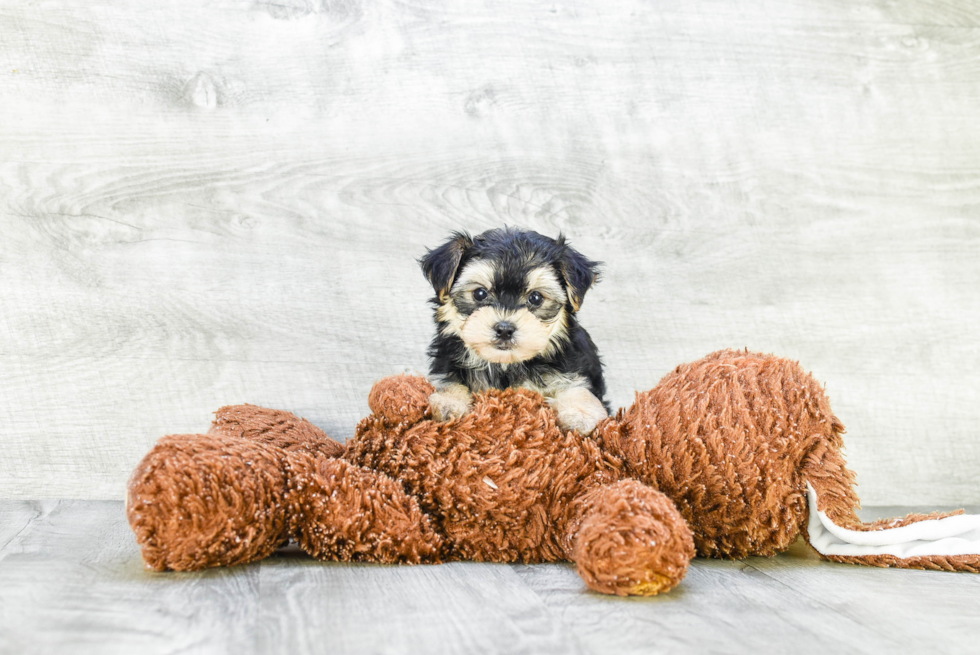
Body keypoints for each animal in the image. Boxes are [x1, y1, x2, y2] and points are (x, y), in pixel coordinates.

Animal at [418, 228, 608, 438]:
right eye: (479, 293)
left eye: (536, 298)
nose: (504, 329)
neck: (506, 365)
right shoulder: (446, 363)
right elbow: (450, 381)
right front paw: (449, 402)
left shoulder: (572, 368)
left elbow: (576, 387)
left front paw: (580, 414)